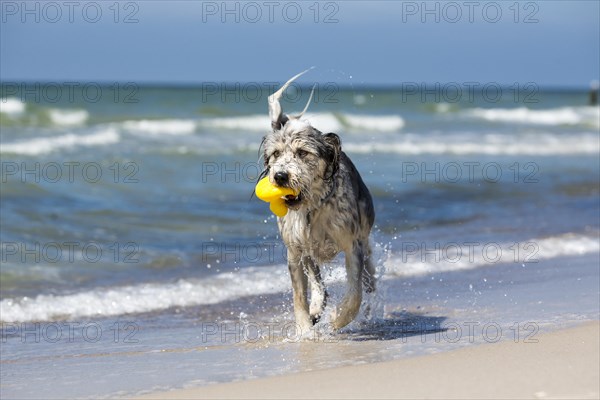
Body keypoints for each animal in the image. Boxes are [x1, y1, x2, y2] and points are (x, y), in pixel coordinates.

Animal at [258, 70, 376, 332]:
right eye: (275, 154)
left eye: (303, 153)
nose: (280, 176)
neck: (313, 208)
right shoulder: (295, 250)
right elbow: (299, 296)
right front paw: (304, 330)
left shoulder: (351, 243)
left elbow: (355, 292)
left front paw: (339, 317)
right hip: (308, 251)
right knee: (318, 282)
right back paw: (316, 307)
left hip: (364, 233)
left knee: (368, 274)